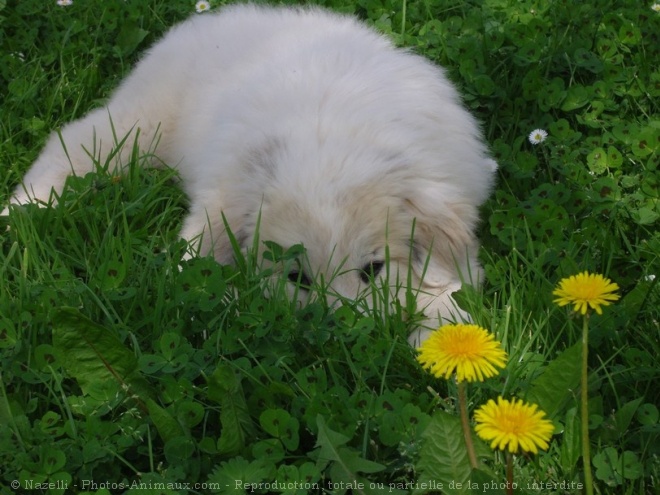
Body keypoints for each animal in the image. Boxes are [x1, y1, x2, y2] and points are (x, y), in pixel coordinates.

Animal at [2, 3, 496, 344]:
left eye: (373, 270)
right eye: (297, 279)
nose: (341, 334)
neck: (331, 136)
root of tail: (215, 18)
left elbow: (444, 286)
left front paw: (444, 336)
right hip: (136, 127)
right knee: (70, 144)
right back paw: (22, 210)